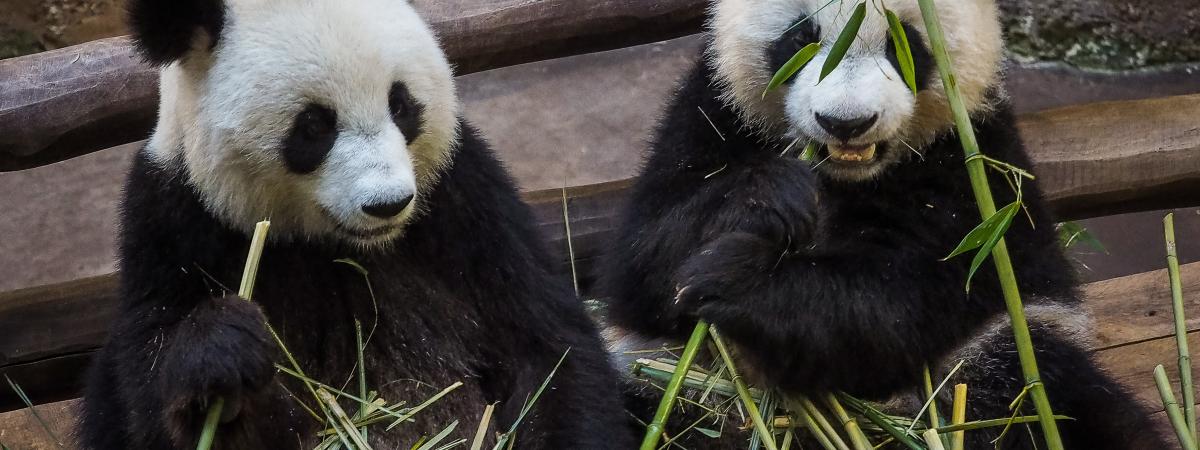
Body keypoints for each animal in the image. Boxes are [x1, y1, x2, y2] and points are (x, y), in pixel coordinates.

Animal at [76, 0, 633, 448]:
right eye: (314, 126)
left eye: (401, 105)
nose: (388, 204)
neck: (342, 247)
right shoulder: (174, 223)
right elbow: (150, 388)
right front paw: (223, 352)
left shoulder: (466, 205)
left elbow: (546, 350)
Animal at [604, 0, 1166, 448]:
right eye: (802, 39)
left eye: (903, 44)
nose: (845, 123)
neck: (843, 178)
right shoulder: (713, 112)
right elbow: (642, 260)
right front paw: (769, 199)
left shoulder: (971, 166)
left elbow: (906, 296)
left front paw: (735, 280)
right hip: (664, 380)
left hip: (1005, 354)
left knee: (1043, 398)